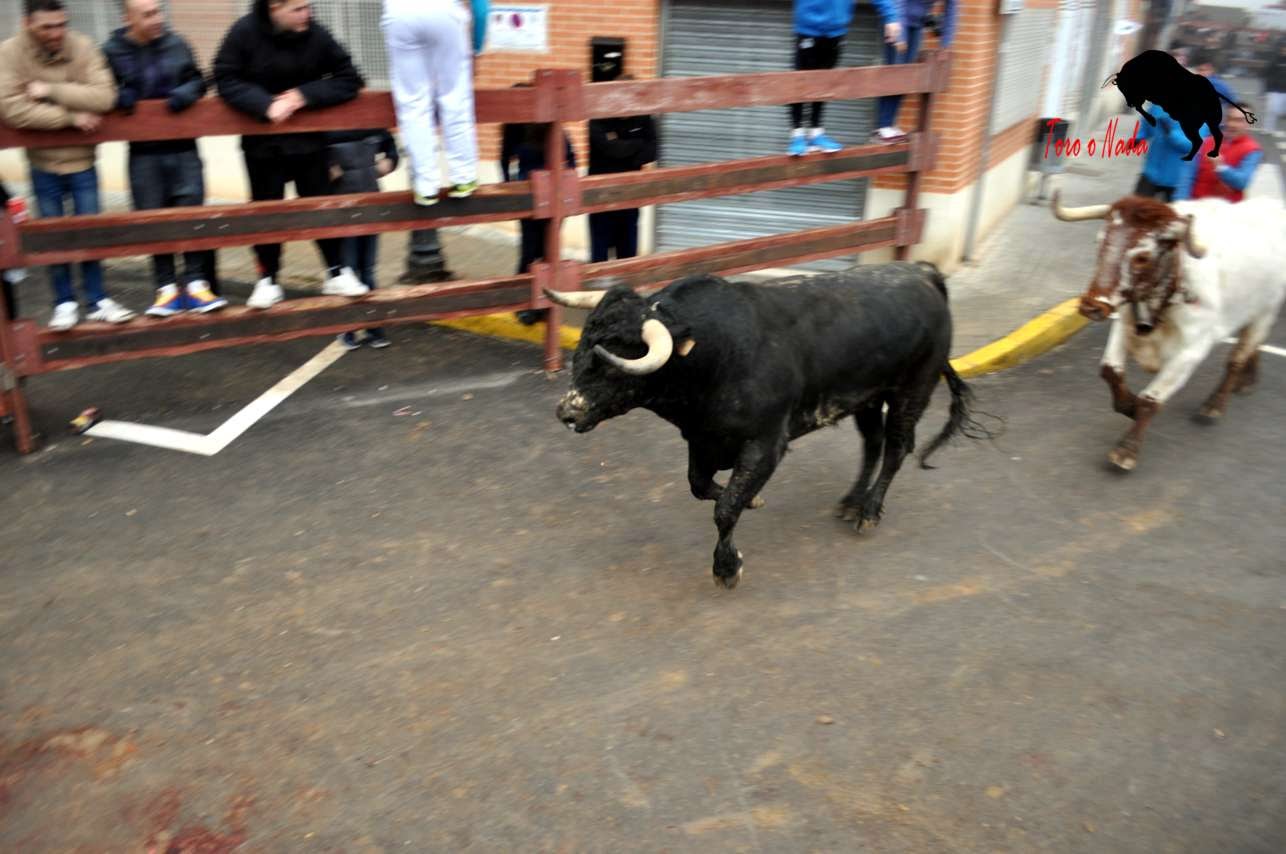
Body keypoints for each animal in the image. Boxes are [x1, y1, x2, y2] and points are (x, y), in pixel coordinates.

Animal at [545, 262, 989, 589]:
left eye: (612, 362)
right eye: (581, 347)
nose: (567, 412)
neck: (715, 354)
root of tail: (922, 273)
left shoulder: (766, 445)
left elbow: (724, 508)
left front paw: (727, 567)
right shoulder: (702, 439)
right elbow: (701, 486)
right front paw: (752, 500)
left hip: (912, 391)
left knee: (896, 447)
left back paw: (869, 511)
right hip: (865, 396)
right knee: (873, 442)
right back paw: (851, 501)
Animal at [1052, 191, 1286, 471]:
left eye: (1142, 257)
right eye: (1100, 241)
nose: (1092, 306)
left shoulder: (1190, 352)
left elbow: (1150, 399)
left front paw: (1126, 450)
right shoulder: (1123, 325)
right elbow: (1110, 371)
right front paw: (1128, 406)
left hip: (1265, 311)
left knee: (1237, 359)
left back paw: (1214, 405)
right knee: (1252, 347)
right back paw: (1248, 381)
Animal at [1103, 50, 1257, 161]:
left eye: (1125, 86)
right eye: (1121, 88)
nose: (1128, 103)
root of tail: (1213, 92)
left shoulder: (1144, 95)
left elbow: (1141, 107)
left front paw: (1153, 121)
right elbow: (1141, 108)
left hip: (1188, 125)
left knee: (1198, 140)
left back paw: (1188, 157)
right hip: (1210, 122)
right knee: (1217, 135)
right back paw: (1212, 153)